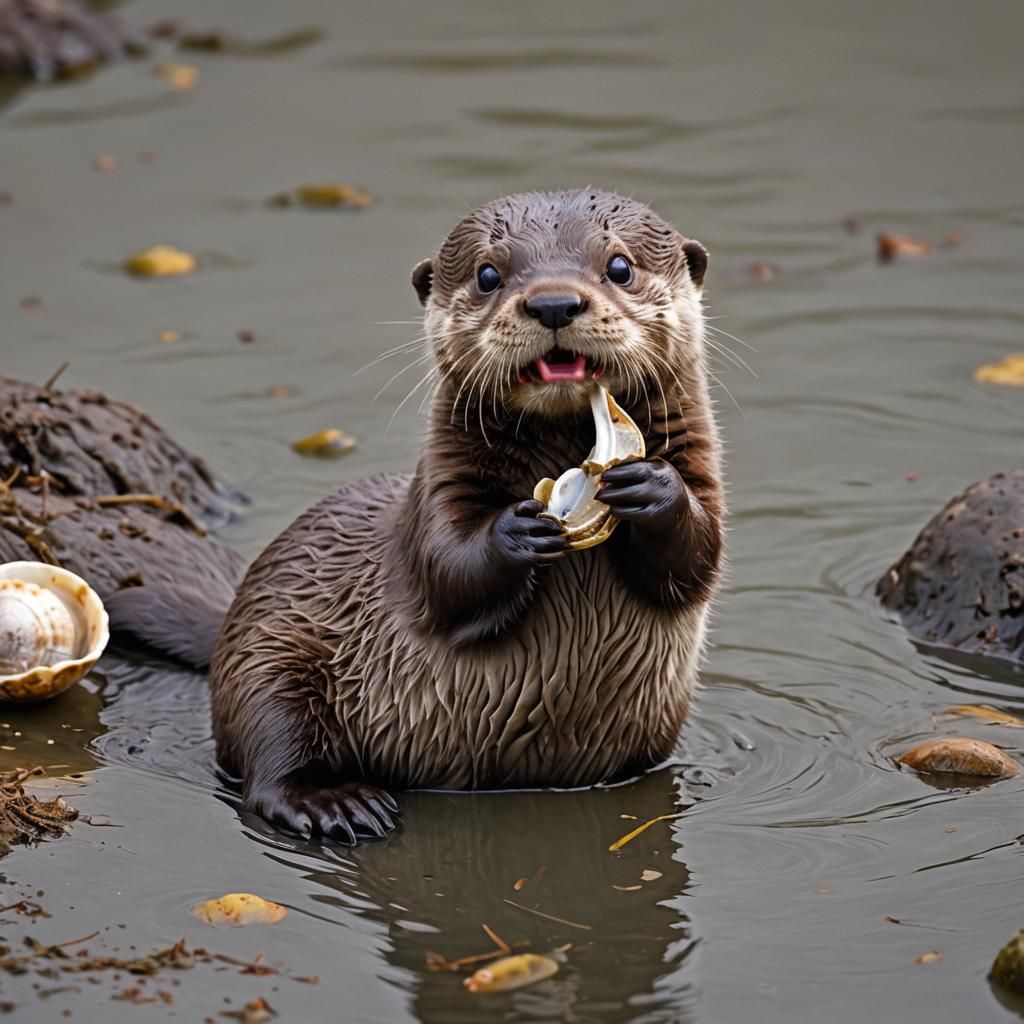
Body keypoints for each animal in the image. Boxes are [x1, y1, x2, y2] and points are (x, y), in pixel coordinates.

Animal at [209, 189, 725, 842]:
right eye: (487, 274)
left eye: (619, 266)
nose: (554, 303)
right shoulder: (438, 488)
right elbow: (444, 571)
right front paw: (519, 528)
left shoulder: (702, 464)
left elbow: (699, 555)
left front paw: (652, 488)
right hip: (268, 657)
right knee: (268, 758)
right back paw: (335, 803)